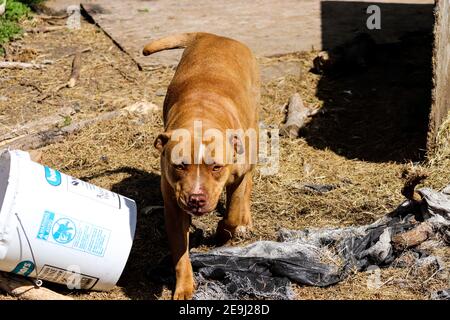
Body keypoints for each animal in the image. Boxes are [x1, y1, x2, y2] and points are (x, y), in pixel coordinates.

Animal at [142, 33, 258, 300]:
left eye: (216, 167)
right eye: (180, 166)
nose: (196, 199)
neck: (202, 118)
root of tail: (212, 35)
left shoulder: (237, 175)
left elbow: (233, 211)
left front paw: (224, 231)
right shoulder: (174, 206)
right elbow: (180, 254)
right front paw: (184, 287)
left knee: (247, 186)